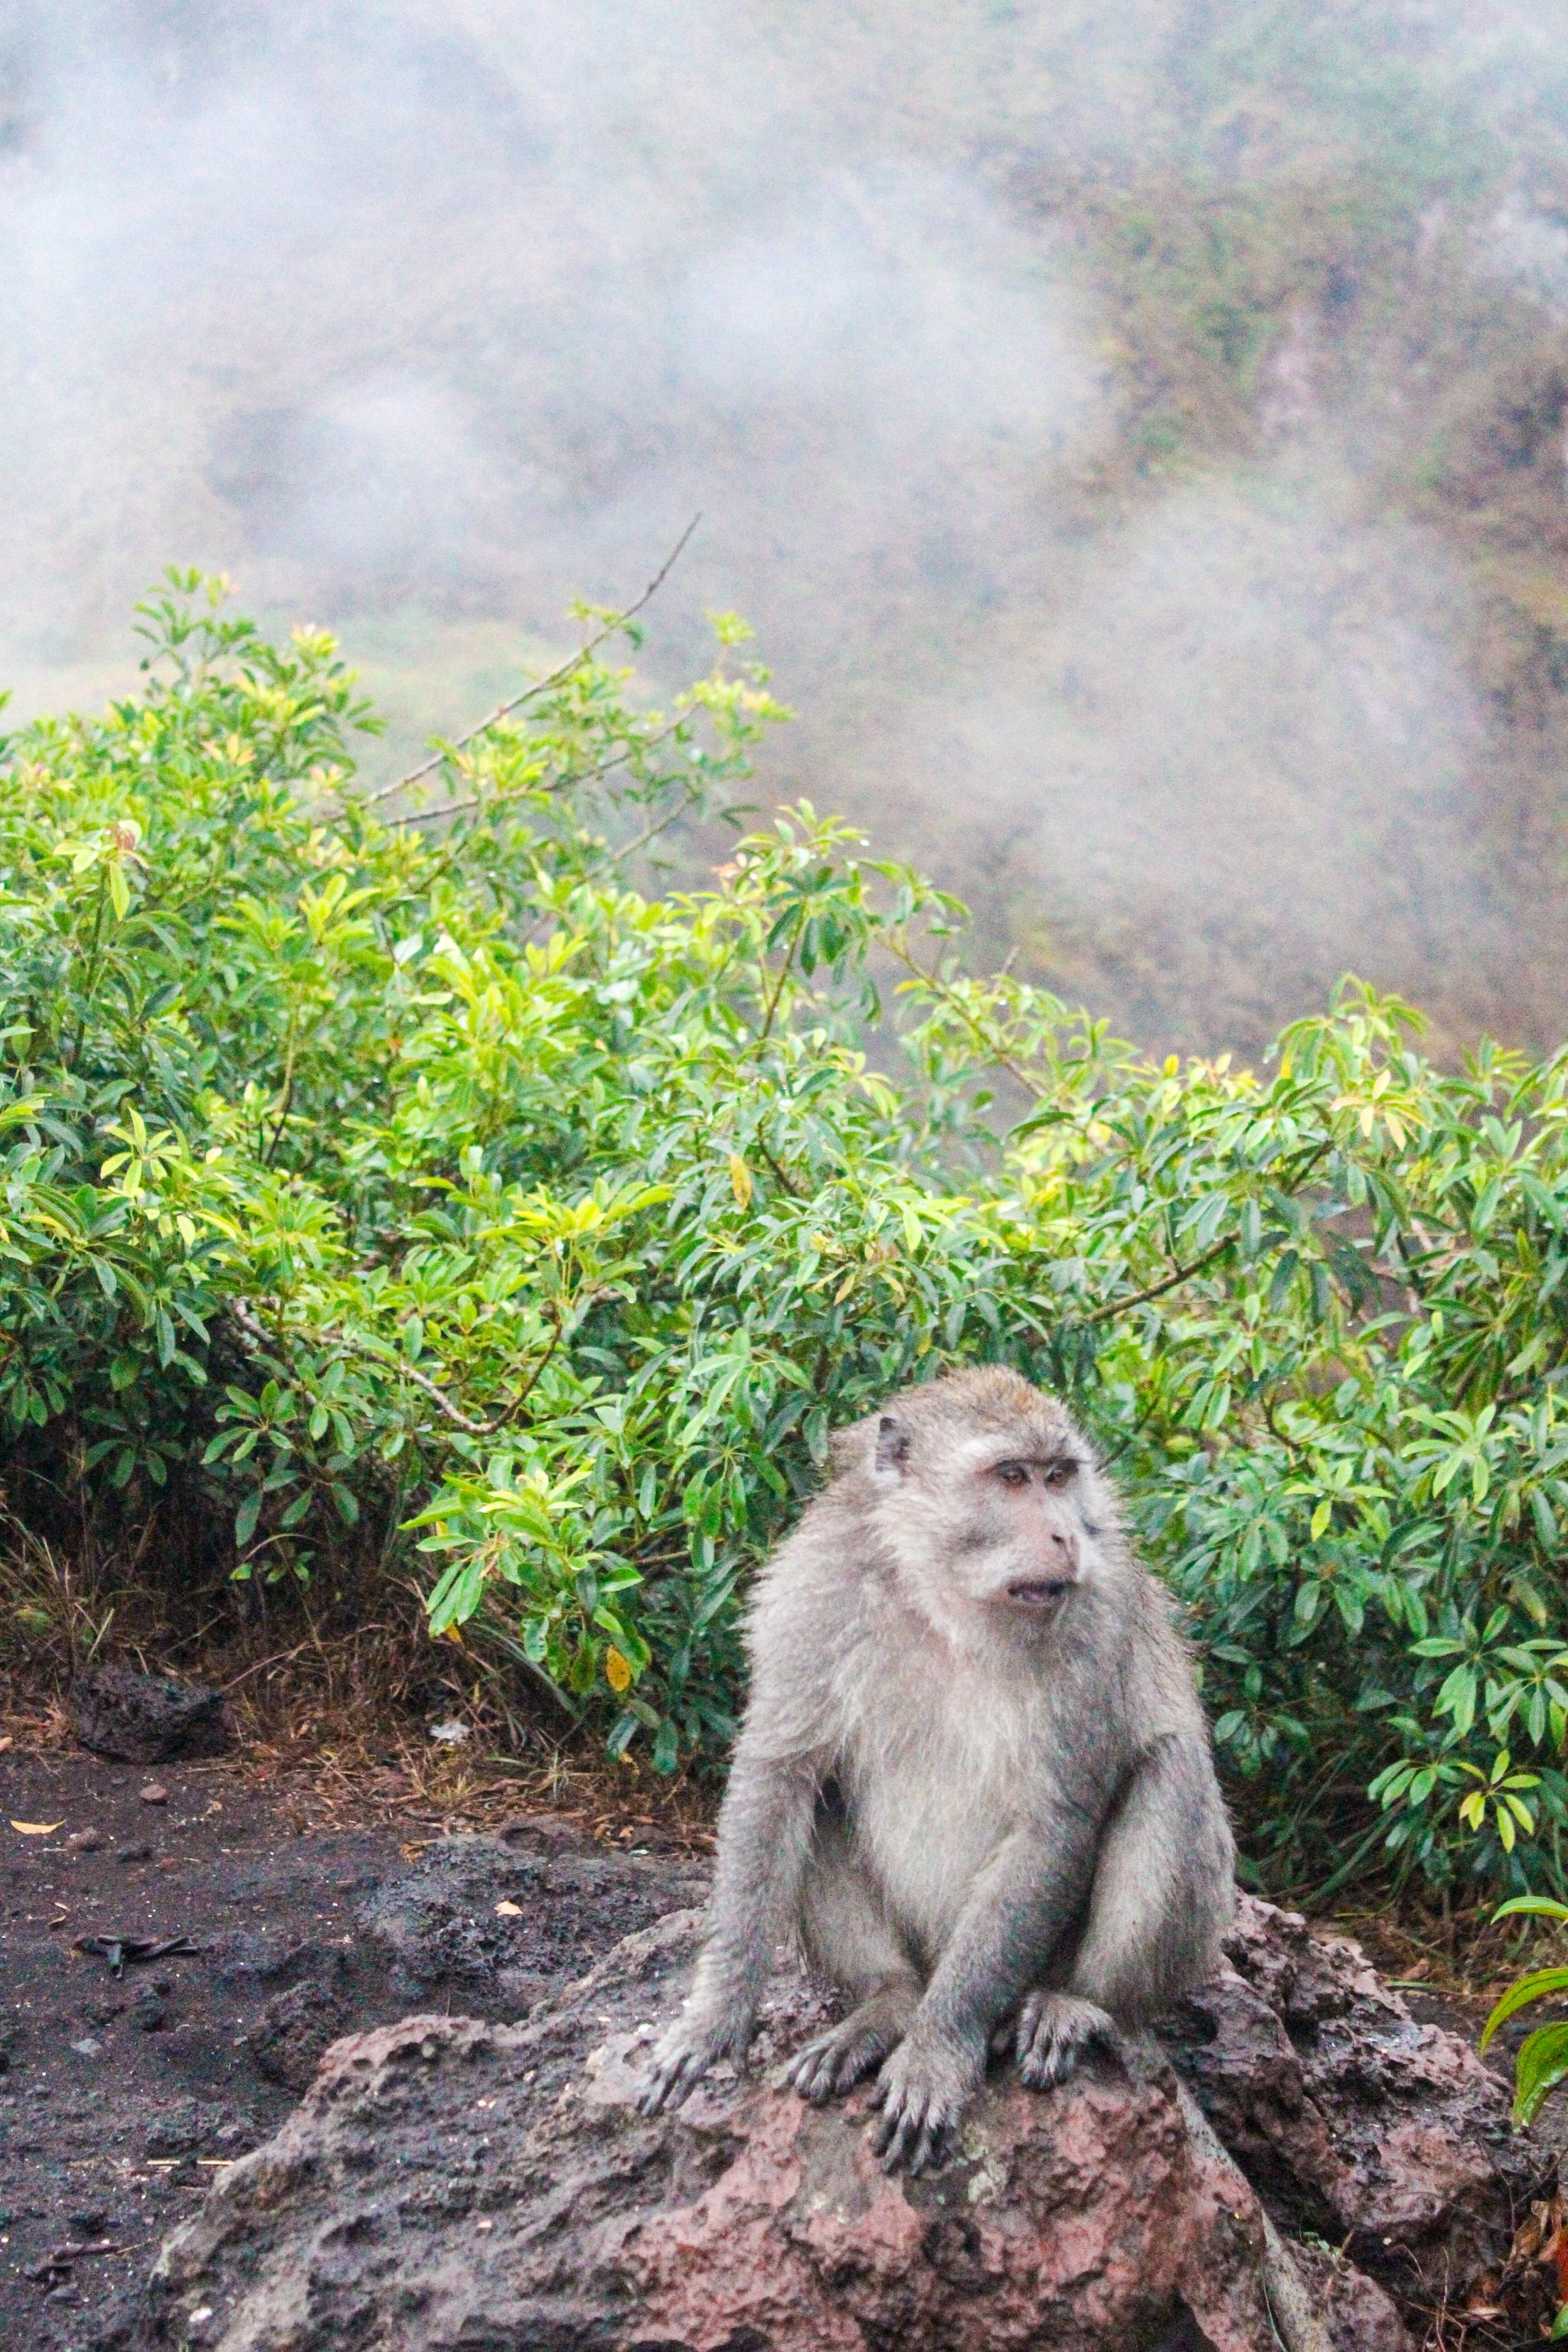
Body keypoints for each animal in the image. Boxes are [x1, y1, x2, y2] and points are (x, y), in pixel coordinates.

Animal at [637, 1364, 1235, 2175]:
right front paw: (715, 2015)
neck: (944, 1599)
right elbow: (780, 1775)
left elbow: (1054, 1823)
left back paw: (1082, 2003)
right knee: (821, 1797)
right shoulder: (815, 1590)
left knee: (1171, 1771)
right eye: (1012, 1477)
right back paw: (887, 2002)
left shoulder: (1096, 1623)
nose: (1065, 1534)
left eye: (1058, 1476)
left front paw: (937, 2051)